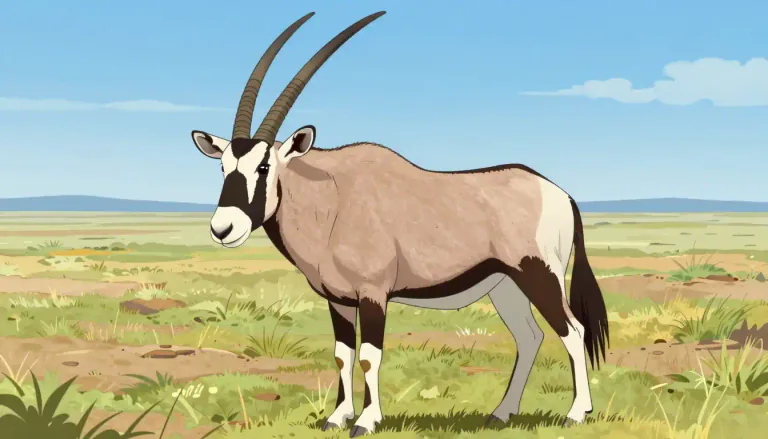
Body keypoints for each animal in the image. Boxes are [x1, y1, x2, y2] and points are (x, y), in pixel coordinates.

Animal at [190, 11, 610, 437]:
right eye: (223, 166)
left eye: (263, 166)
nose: (223, 229)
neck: (332, 198)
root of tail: (561, 194)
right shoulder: (339, 300)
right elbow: (342, 354)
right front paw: (336, 417)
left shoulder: (373, 294)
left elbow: (368, 355)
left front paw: (366, 420)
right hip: (506, 286)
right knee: (529, 337)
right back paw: (502, 412)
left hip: (539, 274)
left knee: (573, 331)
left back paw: (576, 413)